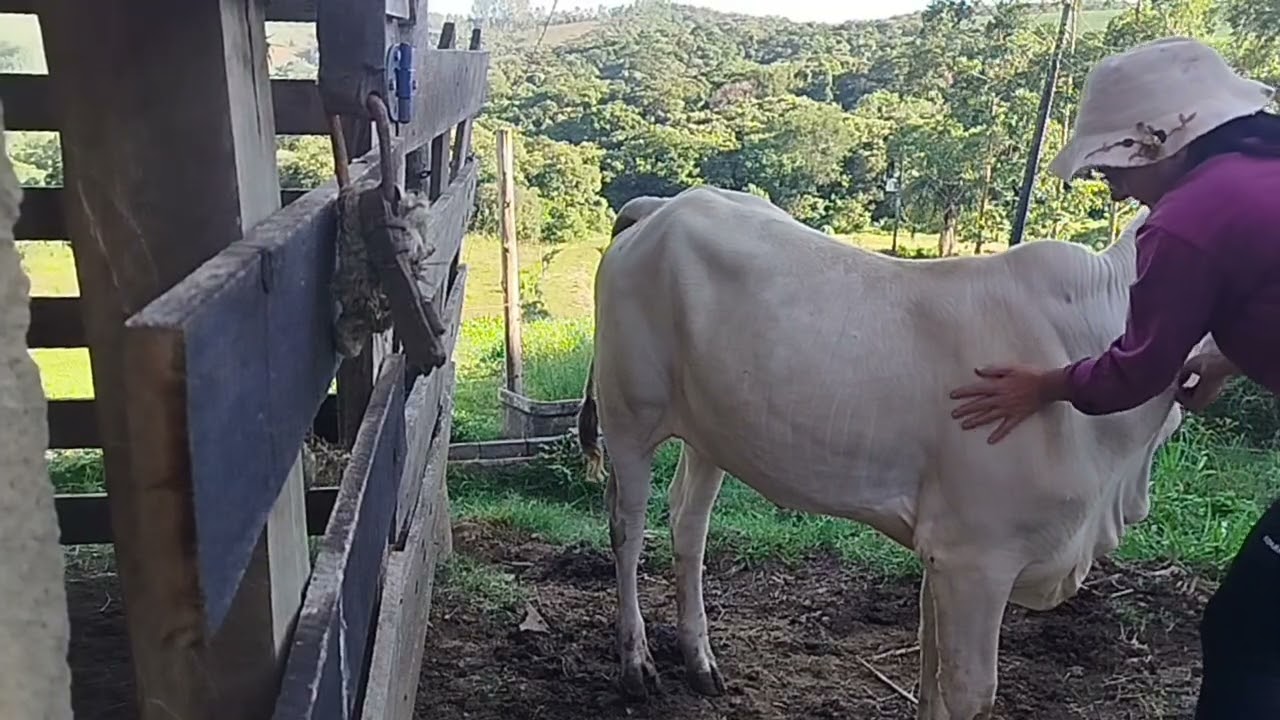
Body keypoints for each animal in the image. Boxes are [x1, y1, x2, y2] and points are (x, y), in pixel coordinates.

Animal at [575, 185, 1189, 720]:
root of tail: (664, 204)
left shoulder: (943, 553)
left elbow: (932, 676)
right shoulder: (974, 557)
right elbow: (968, 691)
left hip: (710, 431)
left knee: (688, 524)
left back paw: (700, 661)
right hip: (629, 415)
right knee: (627, 529)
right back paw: (637, 664)